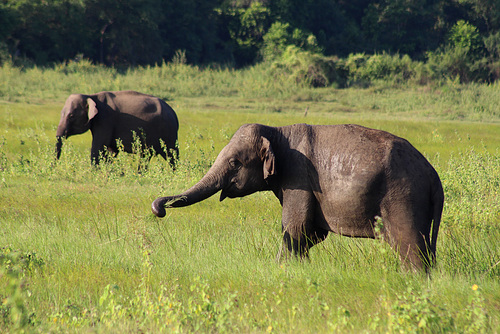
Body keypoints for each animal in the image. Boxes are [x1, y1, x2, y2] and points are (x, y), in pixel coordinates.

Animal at [150, 122, 444, 272]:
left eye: (234, 163)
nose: (159, 209)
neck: (278, 131)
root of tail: (434, 178)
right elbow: (312, 233)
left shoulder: (298, 176)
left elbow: (296, 227)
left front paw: (283, 269)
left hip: (403, 197)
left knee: (409, 244)